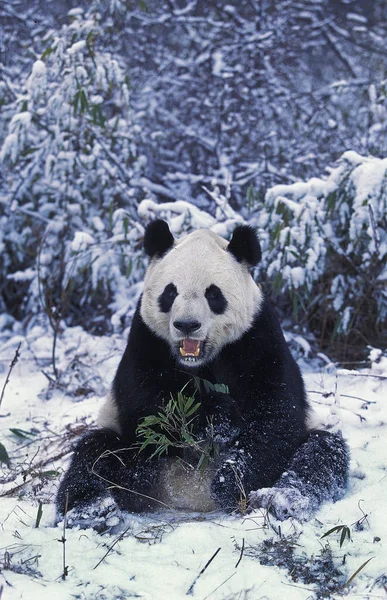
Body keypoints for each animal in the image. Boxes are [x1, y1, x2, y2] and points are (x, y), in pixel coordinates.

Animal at [57, 221, 352, 524]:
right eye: (170, 292)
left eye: (213, 294)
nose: (187, 324)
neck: (199, 360)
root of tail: (187, 493)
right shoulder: (146, 336)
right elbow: (143, 400)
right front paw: (215, 416)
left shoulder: (257, 335)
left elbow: (275, 412)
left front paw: (231, 479)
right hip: (135, 454)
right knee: (95, 455)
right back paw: (91, 509)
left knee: (321, 453)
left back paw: (284, 499)